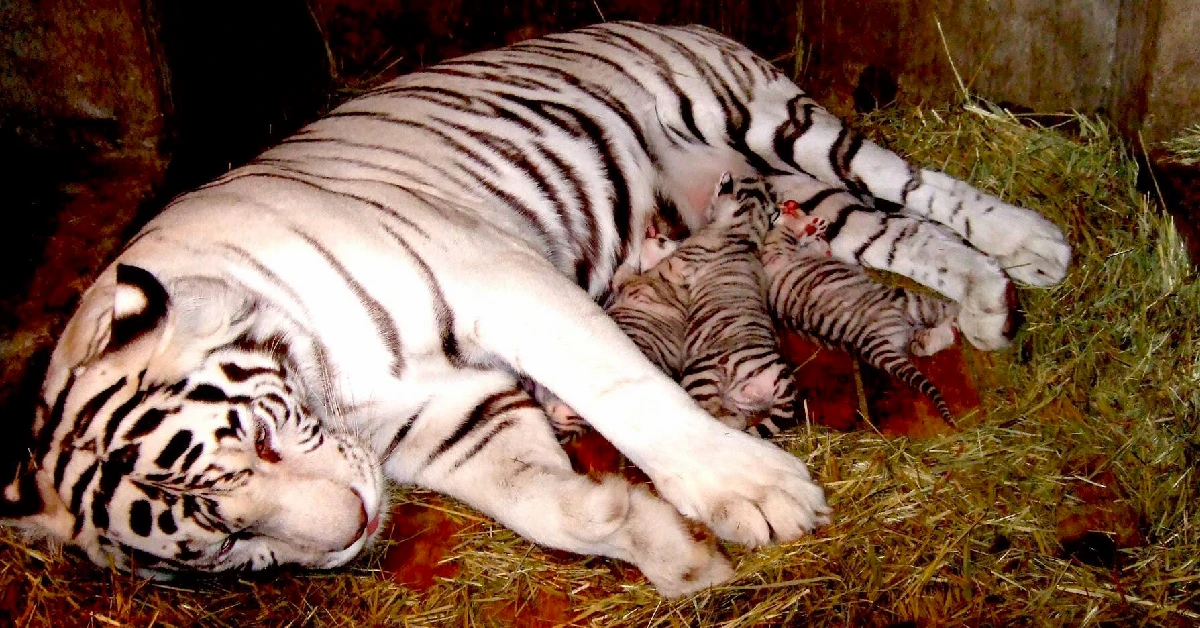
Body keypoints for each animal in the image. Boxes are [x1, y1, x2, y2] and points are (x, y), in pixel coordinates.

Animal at [0, 20, 1070, 600]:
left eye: (261, 444)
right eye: (221, 546)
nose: (354, 529)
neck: (338, 397)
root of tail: (651, 20)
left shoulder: (497, 276)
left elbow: (623, 392)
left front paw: (754, 495)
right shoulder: (450, 422)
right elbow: (544, 504)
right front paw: (664, 547)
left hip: (767, 121)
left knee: (919, 181)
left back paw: (1035, 246)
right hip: (791, 196)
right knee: (901, 233)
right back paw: (986, 302)